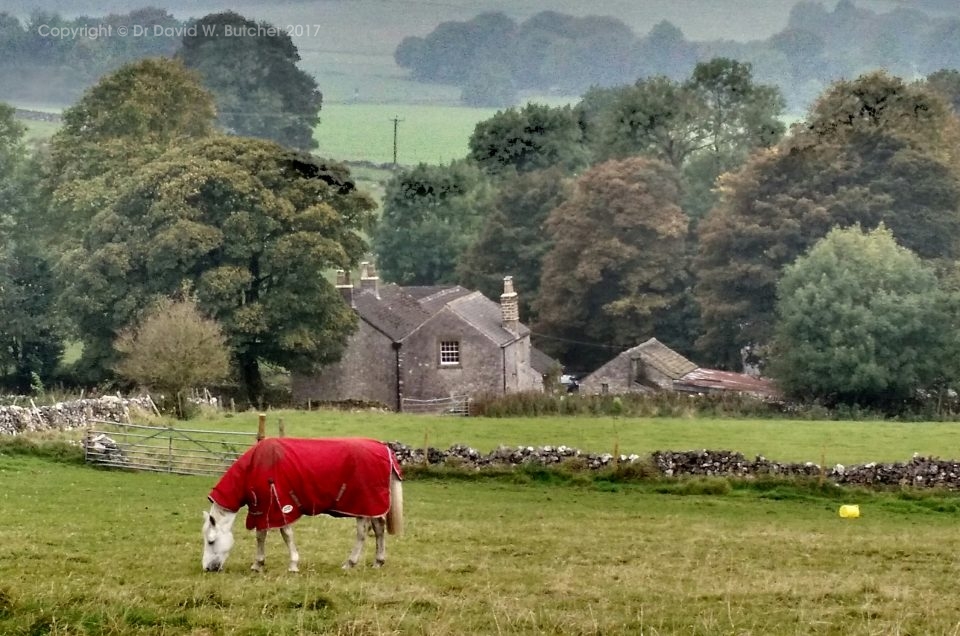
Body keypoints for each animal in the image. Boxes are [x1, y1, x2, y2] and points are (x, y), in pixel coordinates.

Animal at [201, 438, 404, 572]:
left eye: (211, 541)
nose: (207, 568)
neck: (257, 466)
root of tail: (384, 448)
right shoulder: (264, 510)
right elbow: (262, 535)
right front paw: (259, 564)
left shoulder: (278, 507)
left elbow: (283, 535)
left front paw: (291, 564)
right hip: (372, 506)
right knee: (379, 529)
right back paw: (378, 561)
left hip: (362, 506)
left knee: (362, 534)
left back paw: (350, 563)